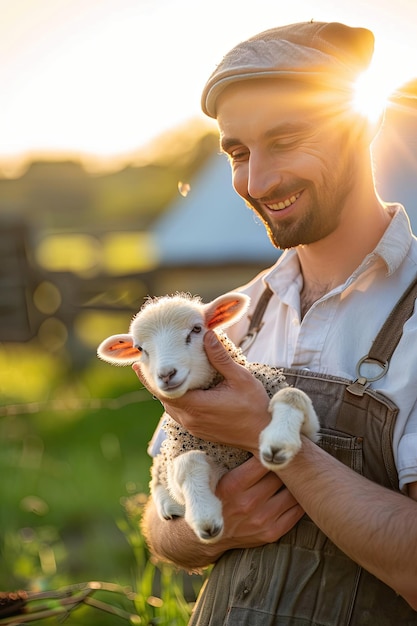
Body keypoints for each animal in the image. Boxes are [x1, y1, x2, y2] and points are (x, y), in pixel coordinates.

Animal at [97, 292, 318, 540]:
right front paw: (205, 517)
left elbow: (292, 395)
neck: (229, 448)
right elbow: (188, 462)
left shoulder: (313, 435)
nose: (166, 375)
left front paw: (279, 442)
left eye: (196, 329)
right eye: (140, 348)